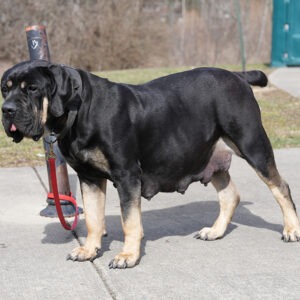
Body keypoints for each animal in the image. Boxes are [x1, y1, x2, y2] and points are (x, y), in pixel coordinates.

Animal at [2, 59, 300, 268]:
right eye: (5, 89)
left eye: (32, 89)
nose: (7, 110)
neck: (78, 110)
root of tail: (238, 75)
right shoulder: (89, 178)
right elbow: (94, 219)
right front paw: (89, 250)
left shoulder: (127, 176)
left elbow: (129, 221)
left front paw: (128, 256)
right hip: (206, 153)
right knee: (230, 195)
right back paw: (215, 231)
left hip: (251, 143)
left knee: (280, 186)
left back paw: (291, 229)